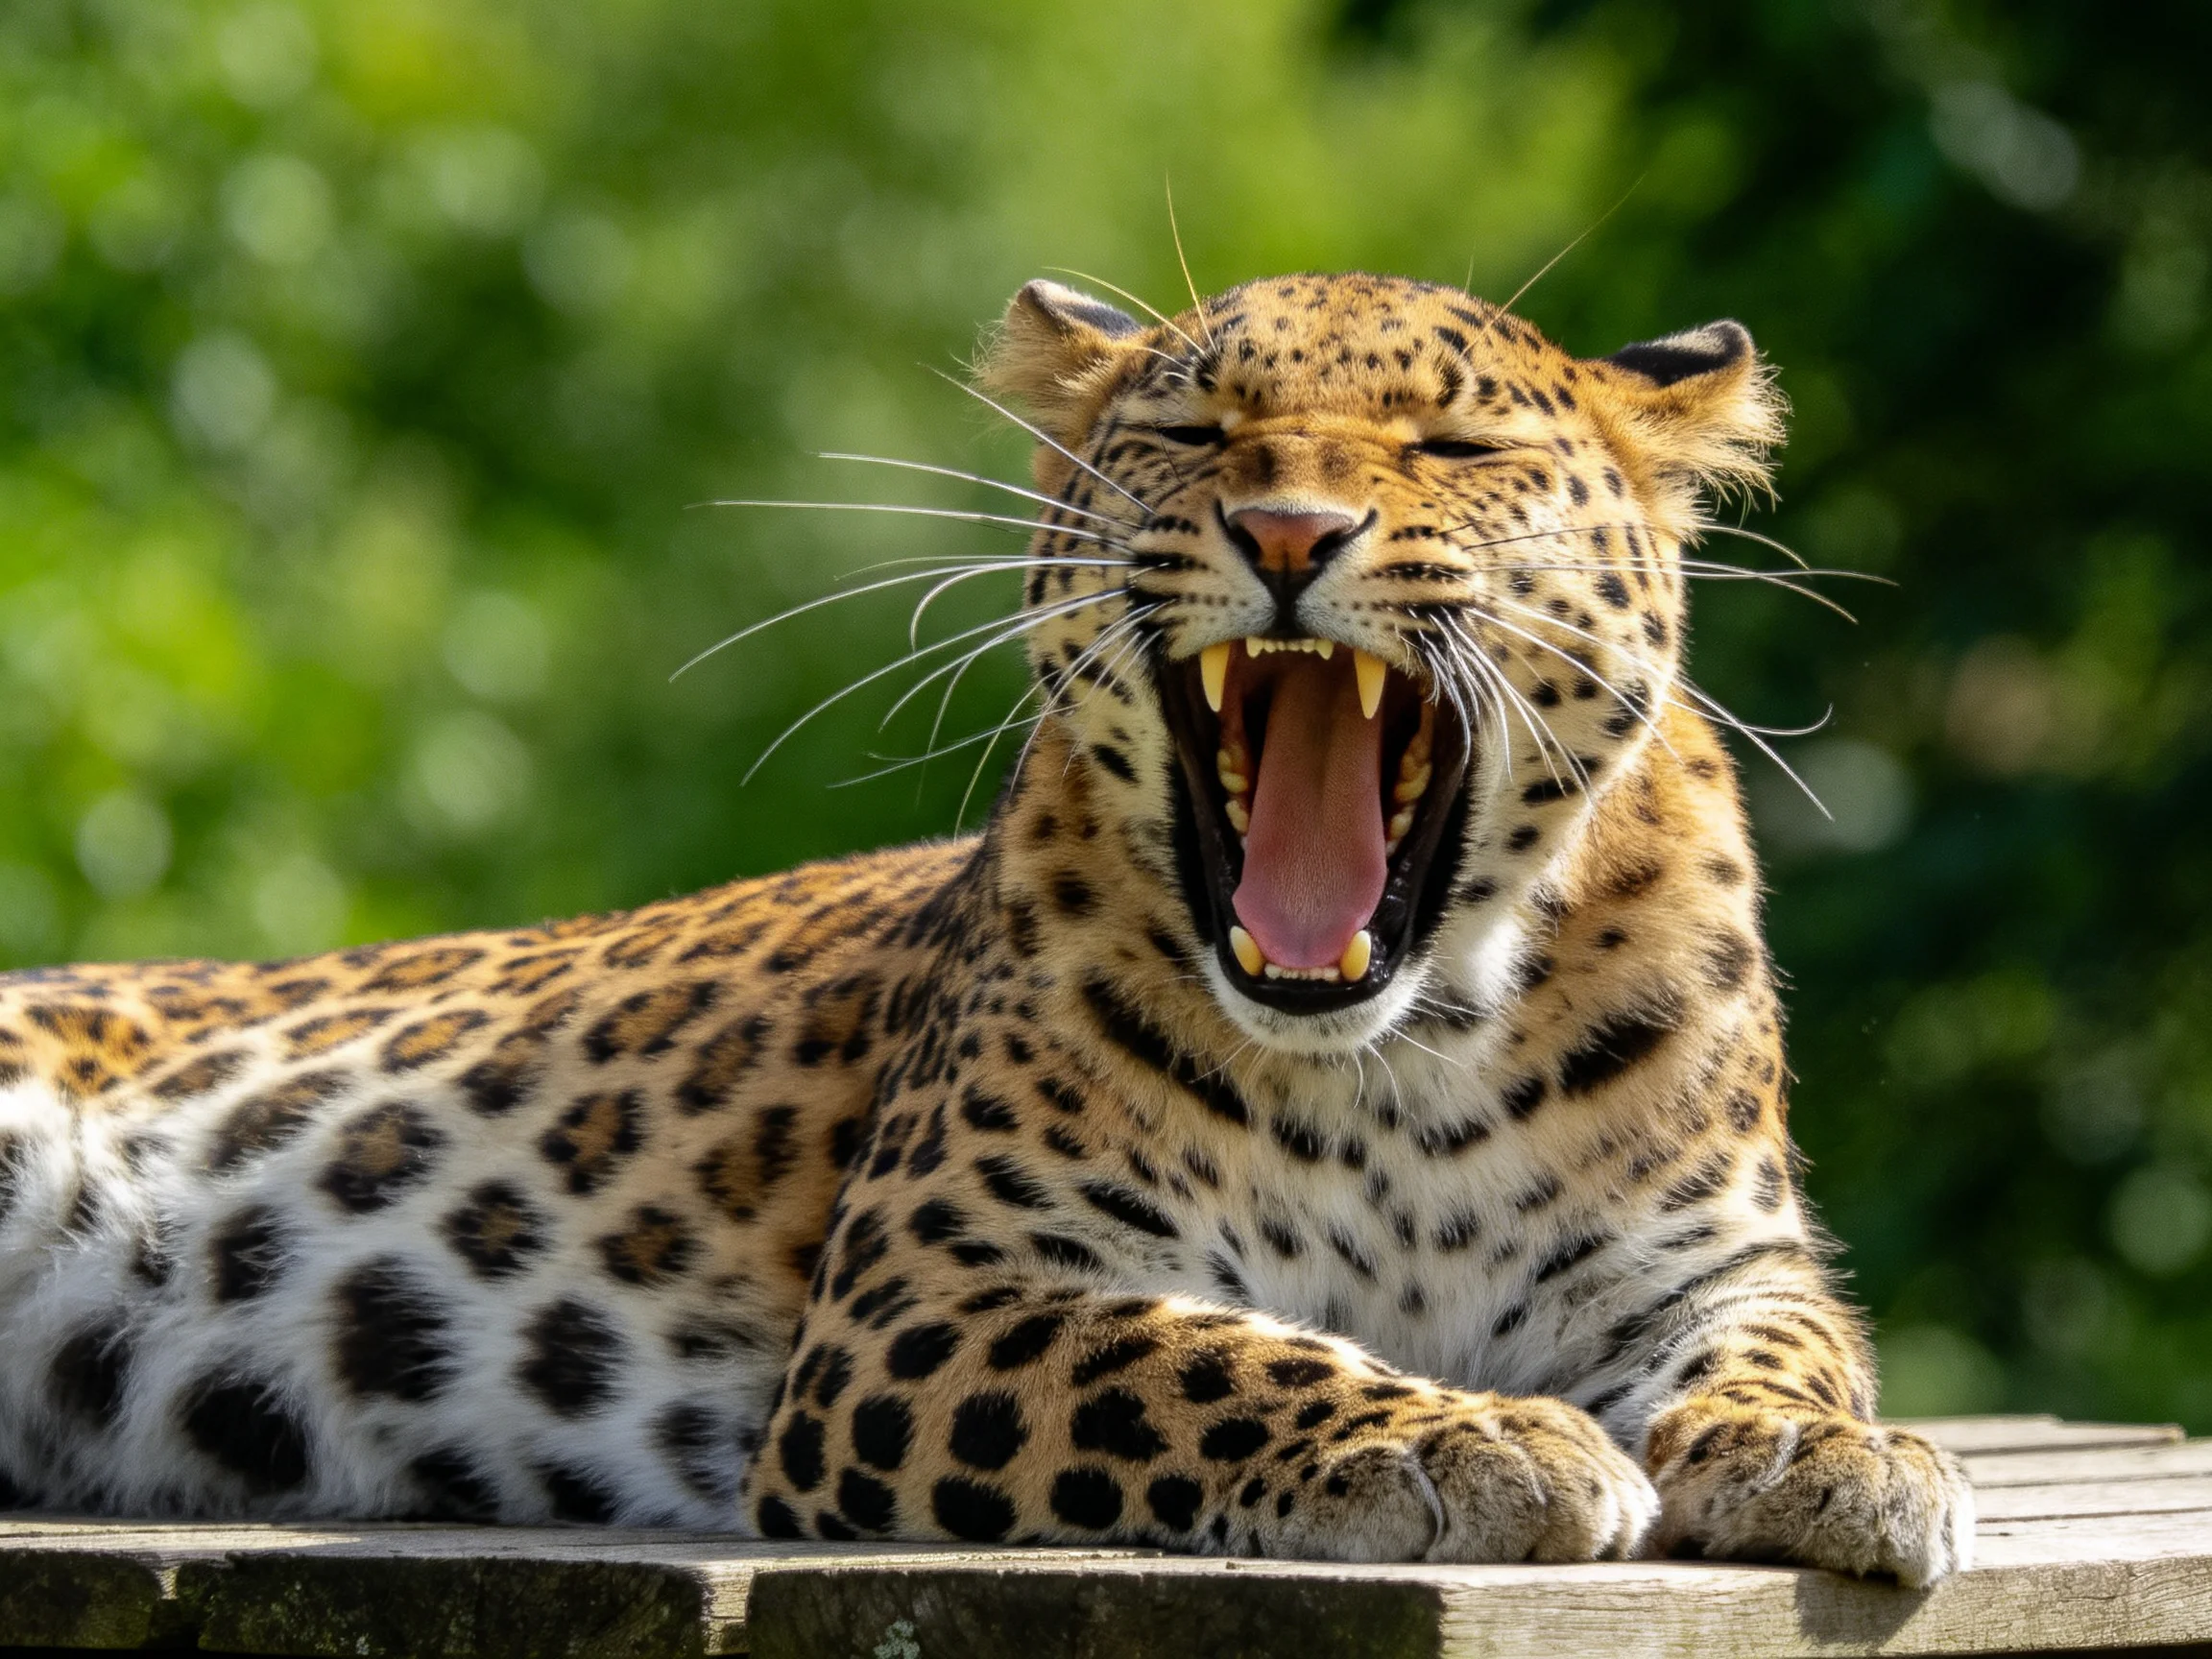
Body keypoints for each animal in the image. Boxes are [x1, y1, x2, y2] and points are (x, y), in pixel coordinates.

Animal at [0, 271, 1972, 1583]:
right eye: (1190, 433)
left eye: (1449, 443)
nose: (1287, 527)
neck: (1403, 1049)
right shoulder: (929, 1294)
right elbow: (1202, 1352)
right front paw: (1464, 1435)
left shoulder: (1710, 1259)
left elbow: (1786, 1342)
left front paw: (1832, 1452)